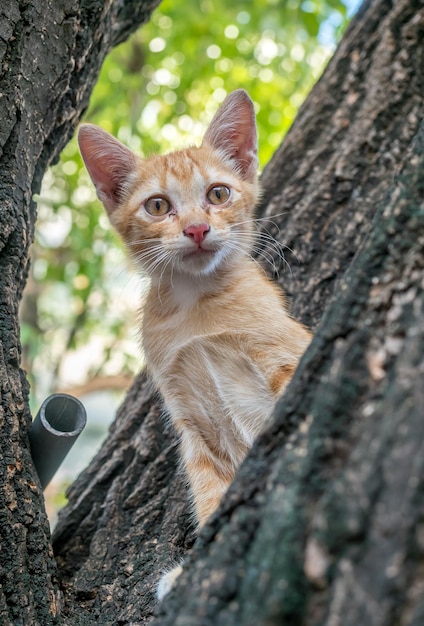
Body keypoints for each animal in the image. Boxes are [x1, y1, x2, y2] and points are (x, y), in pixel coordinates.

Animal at [78, 89, 312, 596]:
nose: (197, 229)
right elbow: (210, 494)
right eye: (158, 205)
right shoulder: (192, 424)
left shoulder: (283, 358)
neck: (195, 310)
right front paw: (193, 569)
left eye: (218, 194)